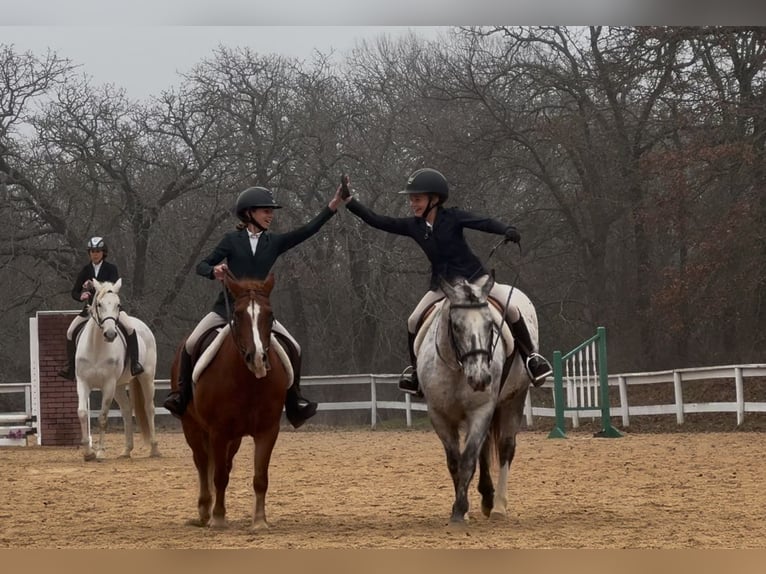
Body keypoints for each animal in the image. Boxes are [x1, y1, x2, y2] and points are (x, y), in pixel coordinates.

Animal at [75, 280, 160, 464]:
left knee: (149, 408)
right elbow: (82, 413)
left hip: (146, 378)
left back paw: (154, 449)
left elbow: (102, 417)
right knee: (127, 410)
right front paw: (88, 452)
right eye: (99, 304)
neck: (96, 346)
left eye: (118, 305)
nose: (110, 334)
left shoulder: (108, 384)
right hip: (120, 386)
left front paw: (100, 452)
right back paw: (126, 450)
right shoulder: (83, 383)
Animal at [172, 274, 292, 532]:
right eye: (237, 315)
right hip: (192, 427)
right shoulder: (218, 431)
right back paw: (205, 510)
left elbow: (260, 478)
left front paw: (259, 521)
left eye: (270, 315)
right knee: (202, 462)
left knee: (223, 464)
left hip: (234, 439)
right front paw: (217, 518)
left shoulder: (267, 431)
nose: (257, 358)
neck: (247, 381)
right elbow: (218, 477)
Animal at [416, 274, 536, 532]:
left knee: (505, 448)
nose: (480, 378)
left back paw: (498, 506)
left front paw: (461, 510)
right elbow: (455, 462)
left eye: (490, 326)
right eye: (456, 326)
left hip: (515, 398)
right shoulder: (439, 415)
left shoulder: (482, 410)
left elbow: (468, 459)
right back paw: (487, 498)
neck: (457, 368)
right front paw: (462, 509)